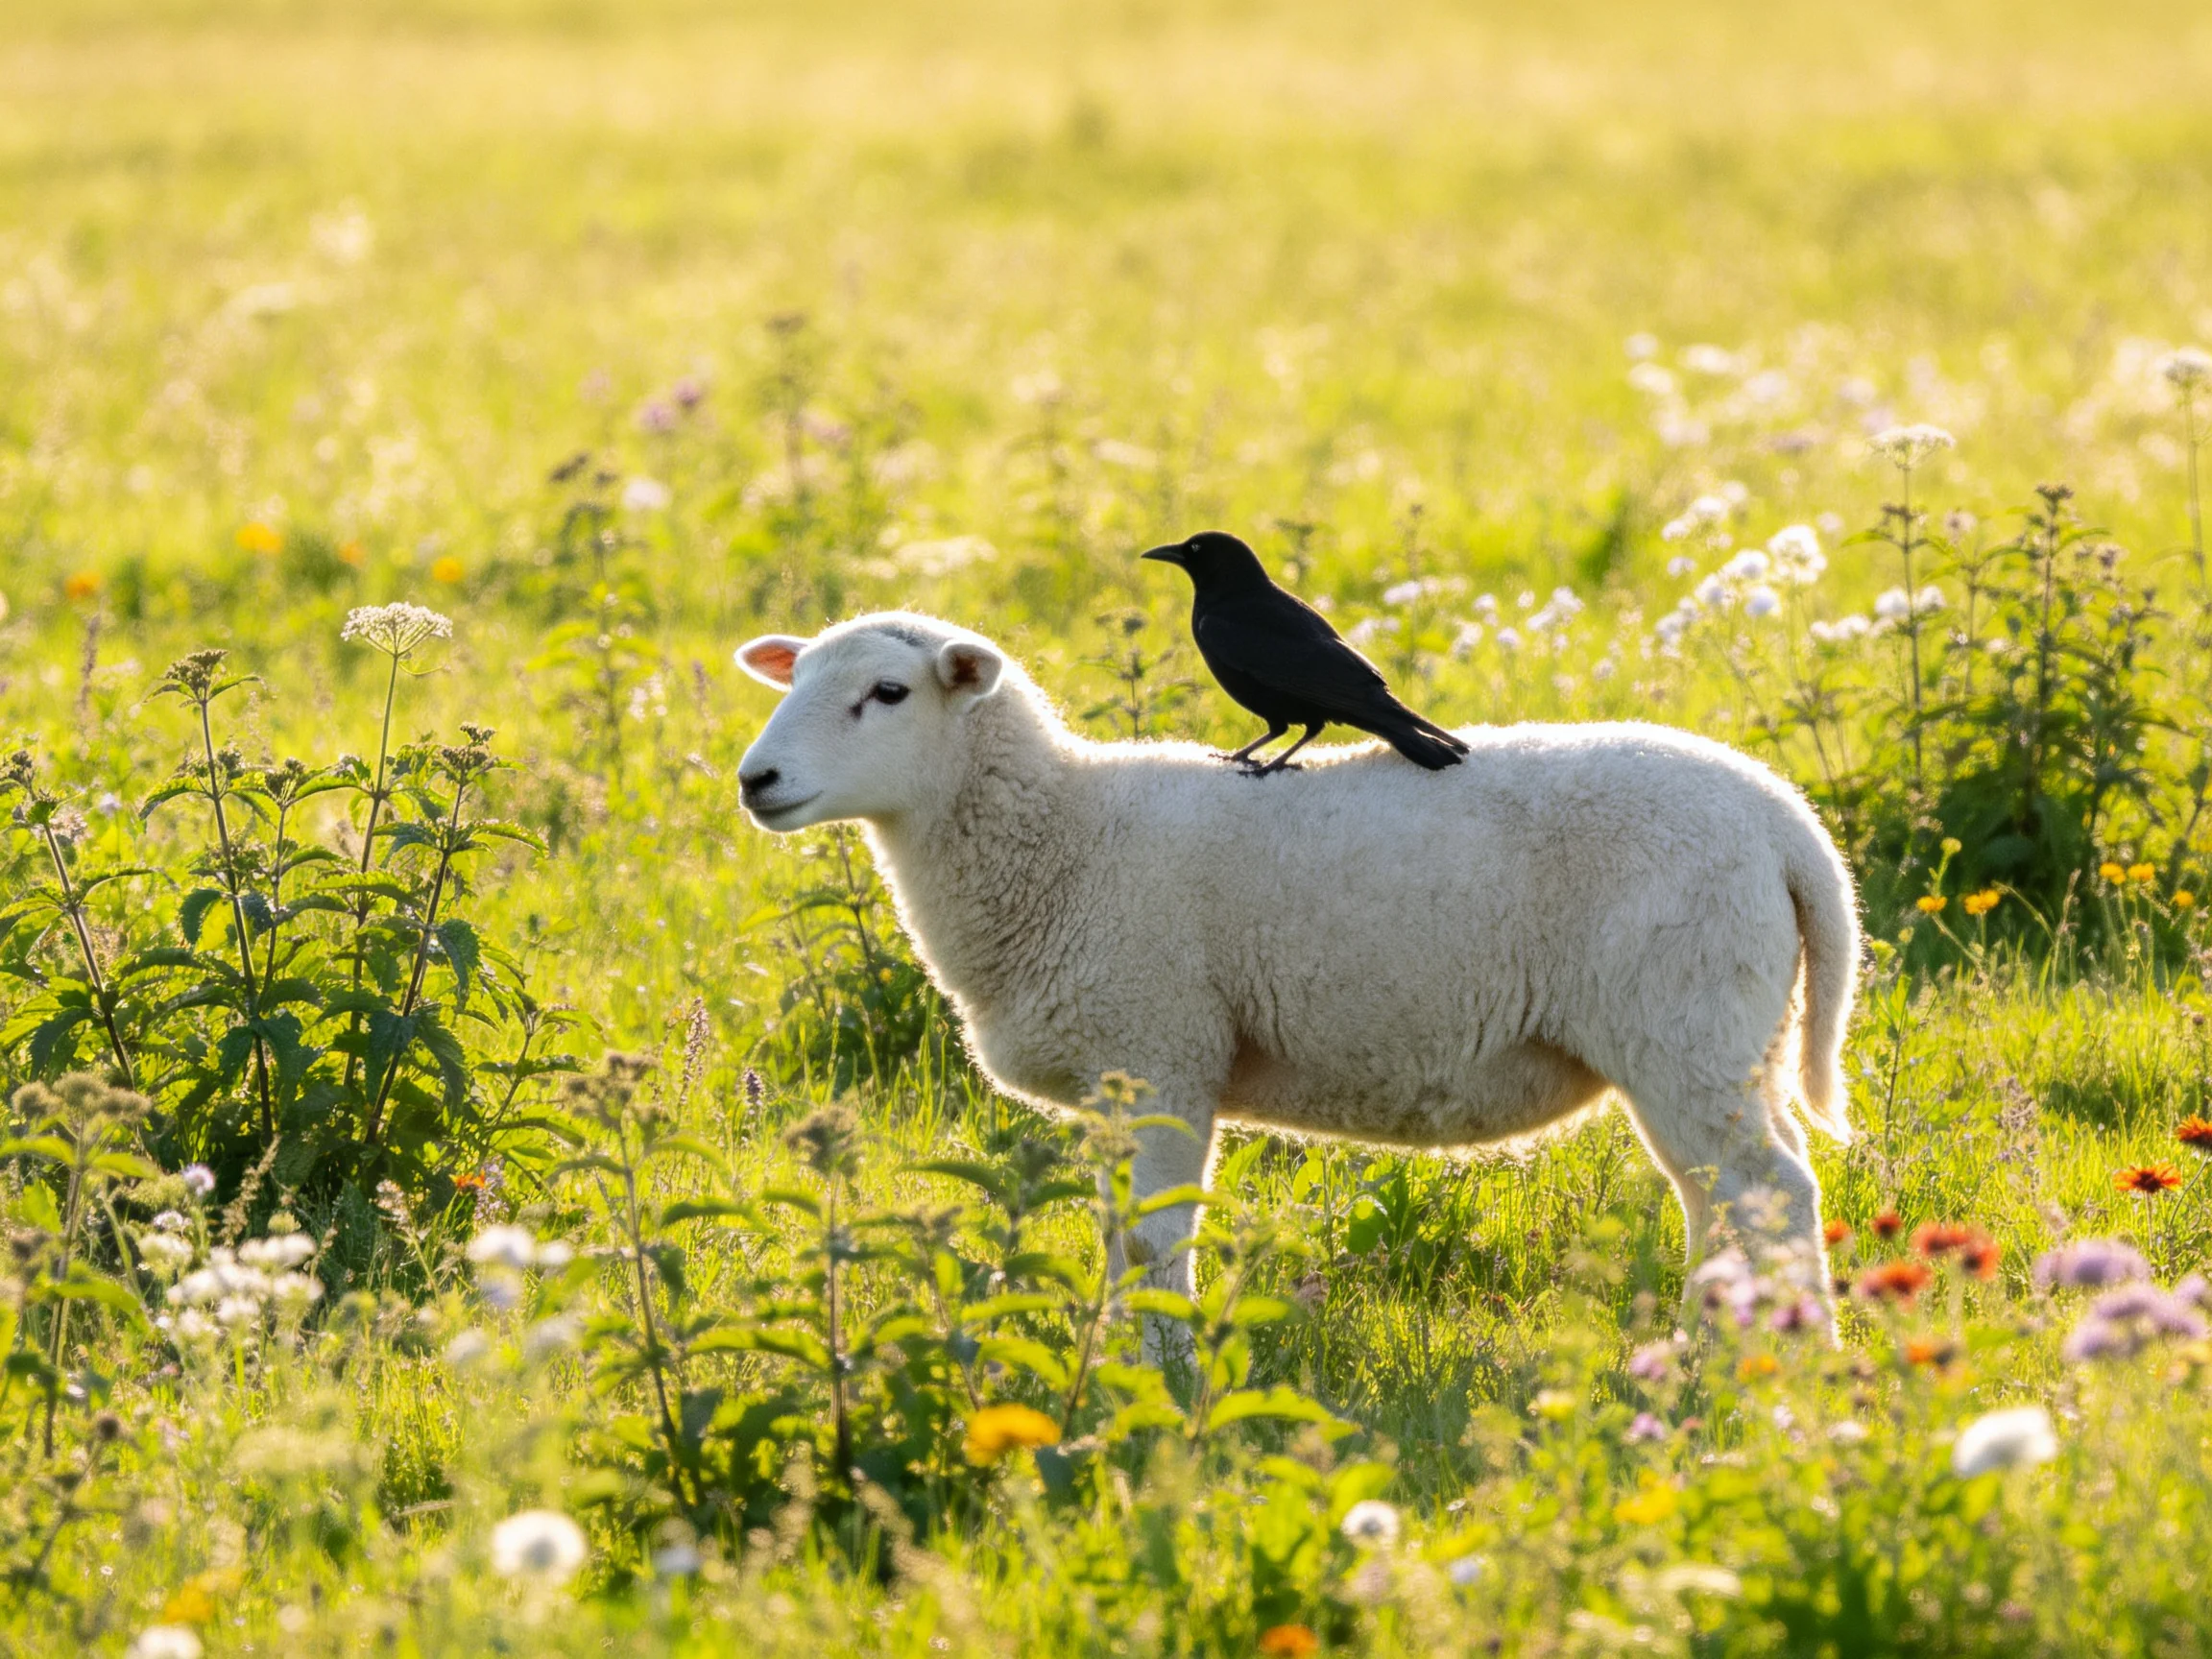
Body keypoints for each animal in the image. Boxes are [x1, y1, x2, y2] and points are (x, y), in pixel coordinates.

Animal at [734, 611, 1861, 1342]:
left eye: (886, 694)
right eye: (794, 682)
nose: (756, 780)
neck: (1063, 837)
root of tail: (1786, 823)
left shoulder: (1160, 1051)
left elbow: (1155, 1244)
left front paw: (1158, 1381)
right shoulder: (1114, 1079)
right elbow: (1118, 1242)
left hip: (1680, 1022)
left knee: (1767, 1191)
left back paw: (1765, 1365)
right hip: (1737, 1033)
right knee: (1735, 1199)